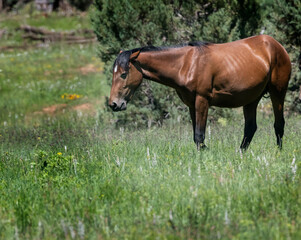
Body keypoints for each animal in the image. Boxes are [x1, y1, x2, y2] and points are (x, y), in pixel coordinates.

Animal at [108, 34, 290, 149]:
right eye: (113, 73)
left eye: (123, 74)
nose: (114, 104)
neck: (186, 64)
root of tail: (276, 45)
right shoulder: (191, 104)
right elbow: (196, 137)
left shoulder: (202, 101)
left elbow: (199, 135)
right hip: (251, 99)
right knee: (250, 128)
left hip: (278, 92)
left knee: (279, 124)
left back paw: (278, 153)